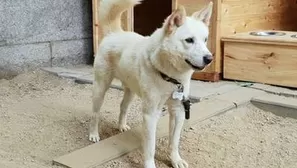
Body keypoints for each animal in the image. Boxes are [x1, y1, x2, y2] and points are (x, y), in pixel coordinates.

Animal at [89, 0, 212, 167]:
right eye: (189, 40)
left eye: (205, 39)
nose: (209, 58)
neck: (170, 76)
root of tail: (114, 33)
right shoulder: (150, 114)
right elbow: (150, 146)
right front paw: (150, 164)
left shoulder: (178, 110)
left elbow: (174, 141)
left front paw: (175, 160)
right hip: (100, 89)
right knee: (95, 113)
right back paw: (93, 134)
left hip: (131, 92)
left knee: (123, 107)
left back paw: (122, 126)